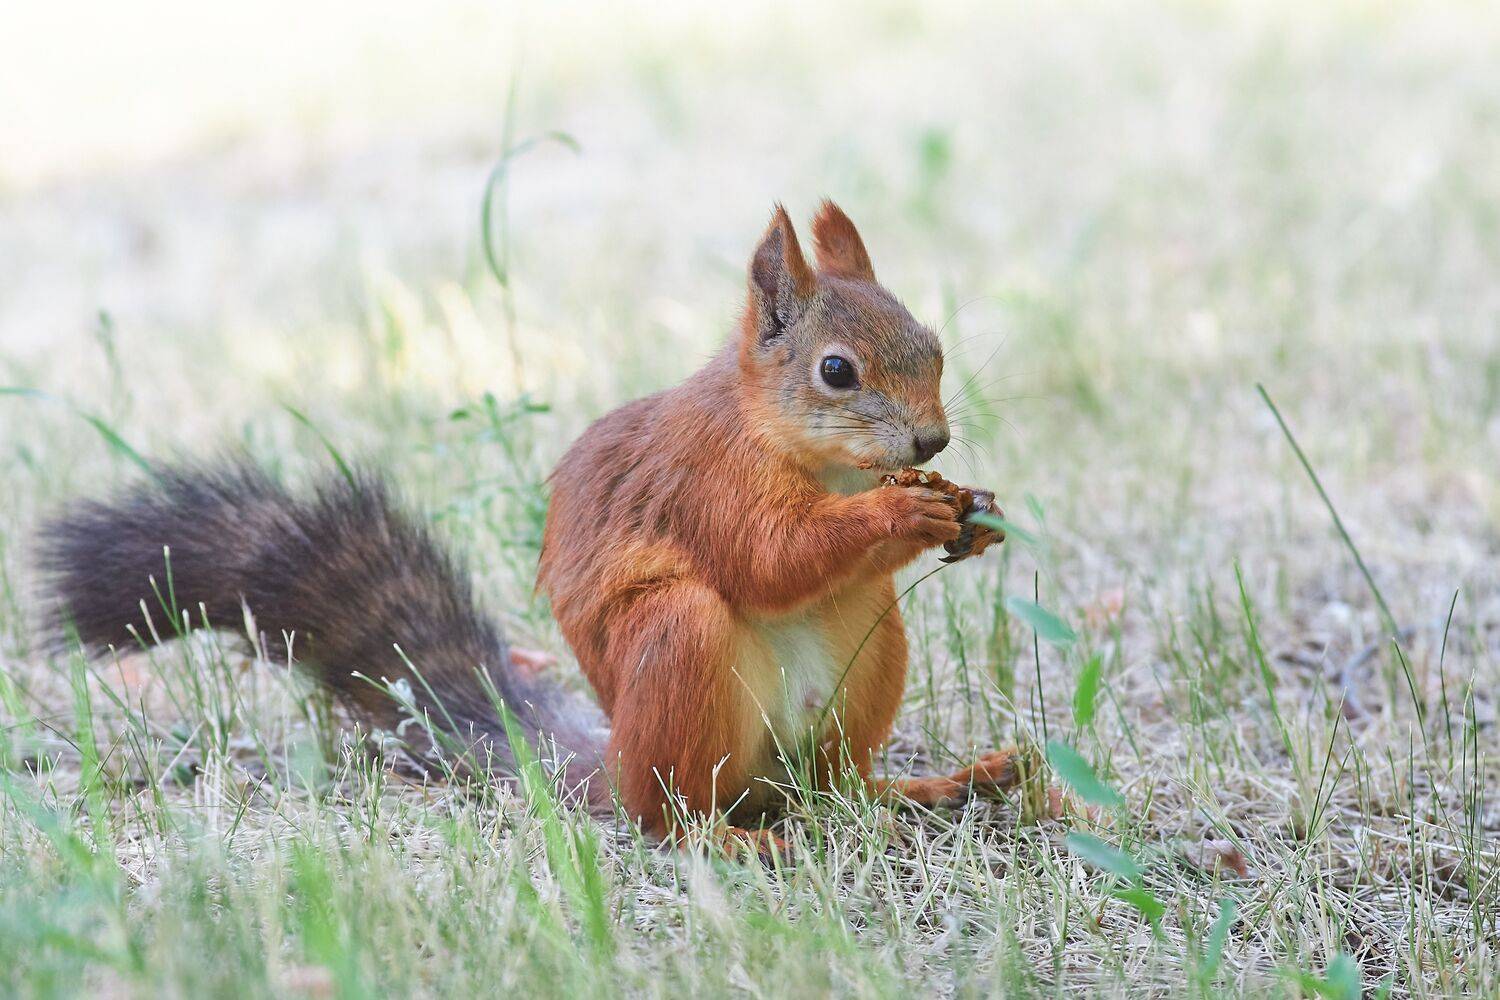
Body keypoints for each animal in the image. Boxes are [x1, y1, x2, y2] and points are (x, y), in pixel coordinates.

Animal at [39, 201, 1018, 858]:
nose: (930, 441)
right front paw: (901, 510)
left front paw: (971, 506)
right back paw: (724, 838)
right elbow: (767, 559)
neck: (809, 454)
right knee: (672, 812)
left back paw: (927, 787)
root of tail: (612, 764)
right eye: (836, 371)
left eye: (932, 346)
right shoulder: (707, 482)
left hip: (869, 647)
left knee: (834, 783)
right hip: (676, 652)